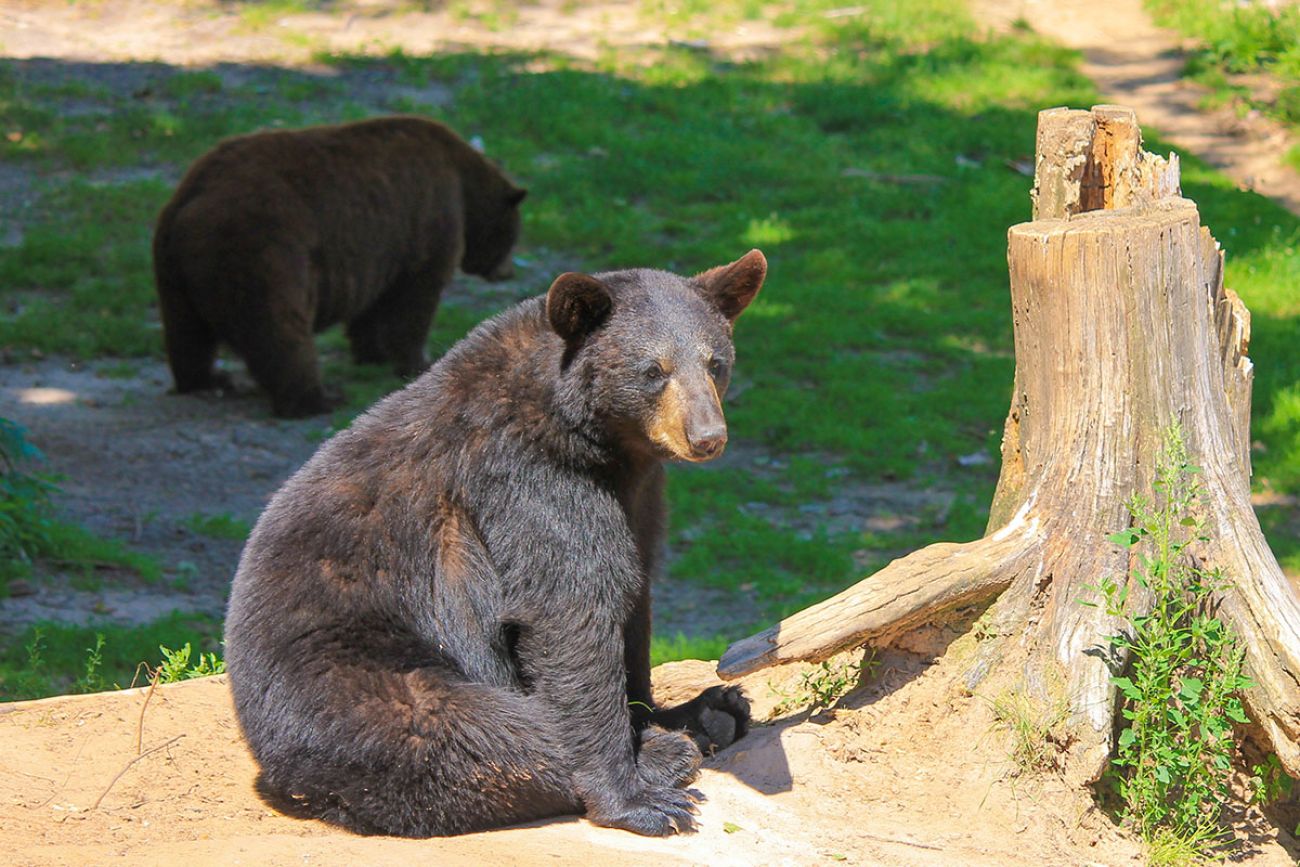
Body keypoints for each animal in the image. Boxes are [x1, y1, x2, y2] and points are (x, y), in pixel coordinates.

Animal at [156, 116, 527, 421]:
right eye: (513, 236)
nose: (508, 272)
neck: (463, 182)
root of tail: (191, 200)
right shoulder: (429, 219)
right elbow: (416, 298)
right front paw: (416, 362)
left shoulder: (380, 251)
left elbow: (371, 308)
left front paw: (371, 354)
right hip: (262, 251)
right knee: (278, 329)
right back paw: (316, 399)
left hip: (173, 269)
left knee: (186, 331)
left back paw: (206, 379)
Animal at [227, 246, 764, 837]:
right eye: (653, 370)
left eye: (715, 362)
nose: (706, 437)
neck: (592, 437)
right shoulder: (526, 482)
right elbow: (569, 613)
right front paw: (636, 798)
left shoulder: (638, 495)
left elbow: (634, 599)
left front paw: (672, 709)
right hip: (359, 684)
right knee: (488, 734)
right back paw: (666, 754)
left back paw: (710, 715)